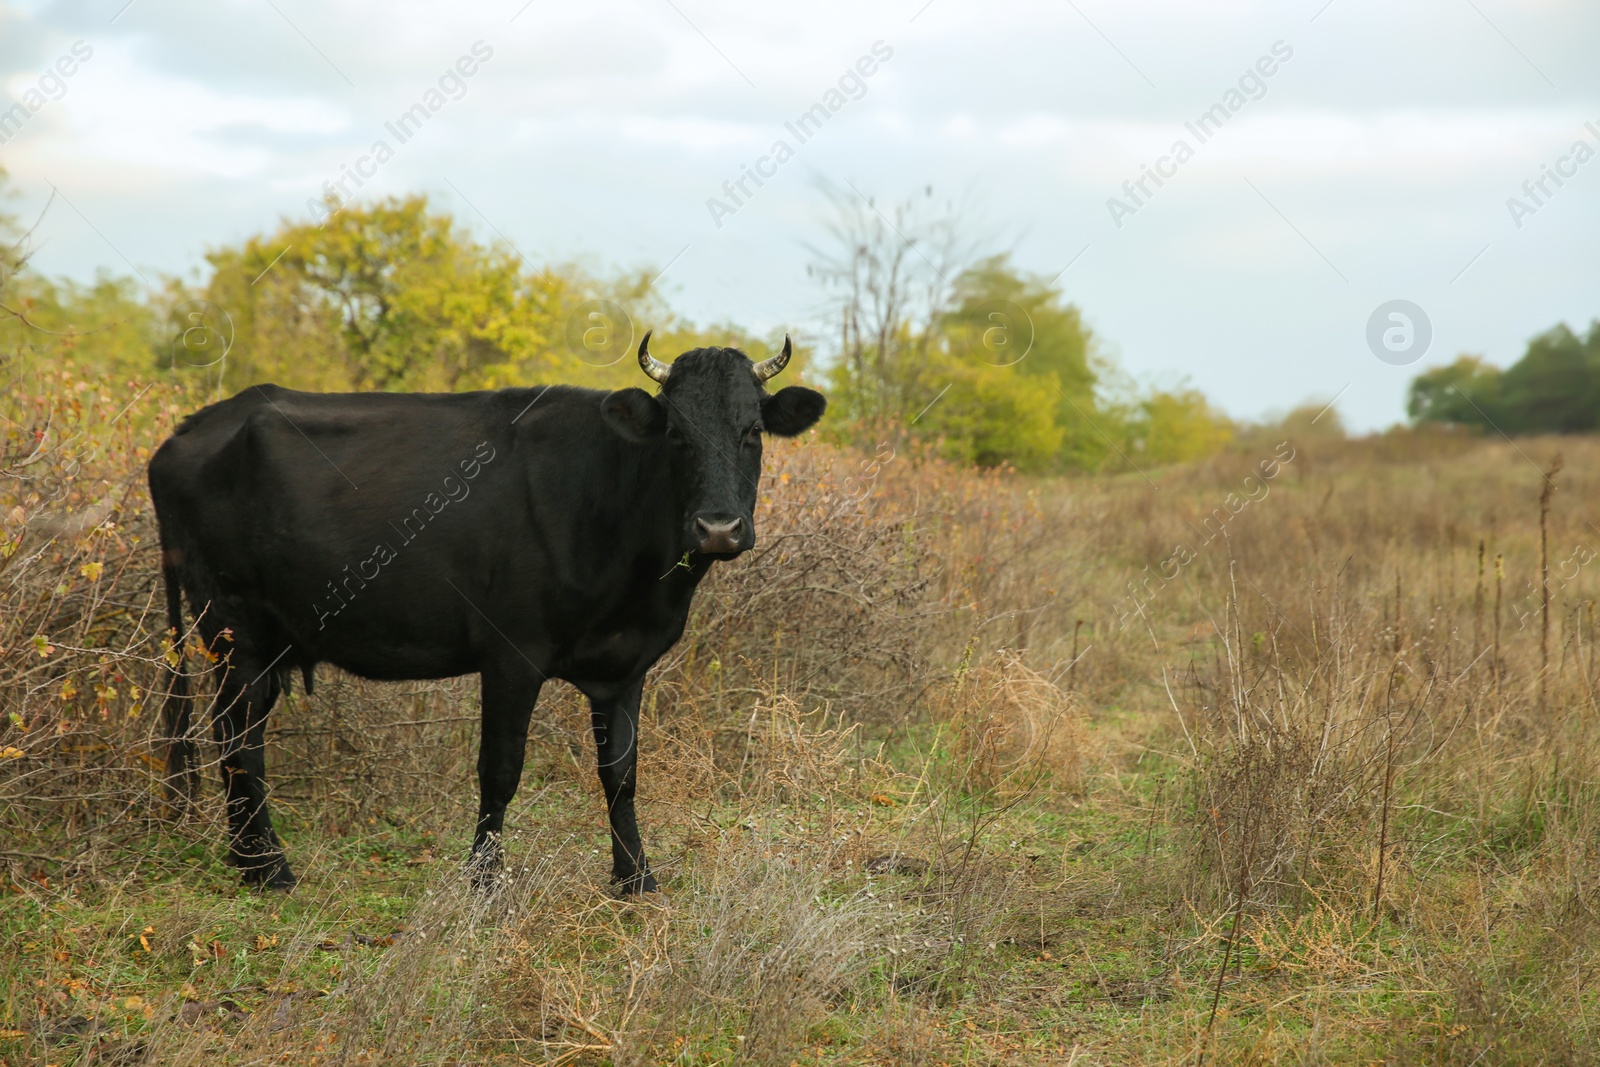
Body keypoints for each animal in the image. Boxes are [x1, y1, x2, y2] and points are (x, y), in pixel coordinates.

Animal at [150, 337, 825, 889]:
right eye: (676, 436)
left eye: (752, 431)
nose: (719, 527)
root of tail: (193, 427)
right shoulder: (511, 653)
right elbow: (499, 769)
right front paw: (483, 880)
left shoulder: (626, 664)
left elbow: (622, 773)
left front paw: (635, 877)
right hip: (233, 626)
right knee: (237, 740)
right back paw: (270, 871)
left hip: (265, 640)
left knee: (237, 737)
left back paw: (249, 861)